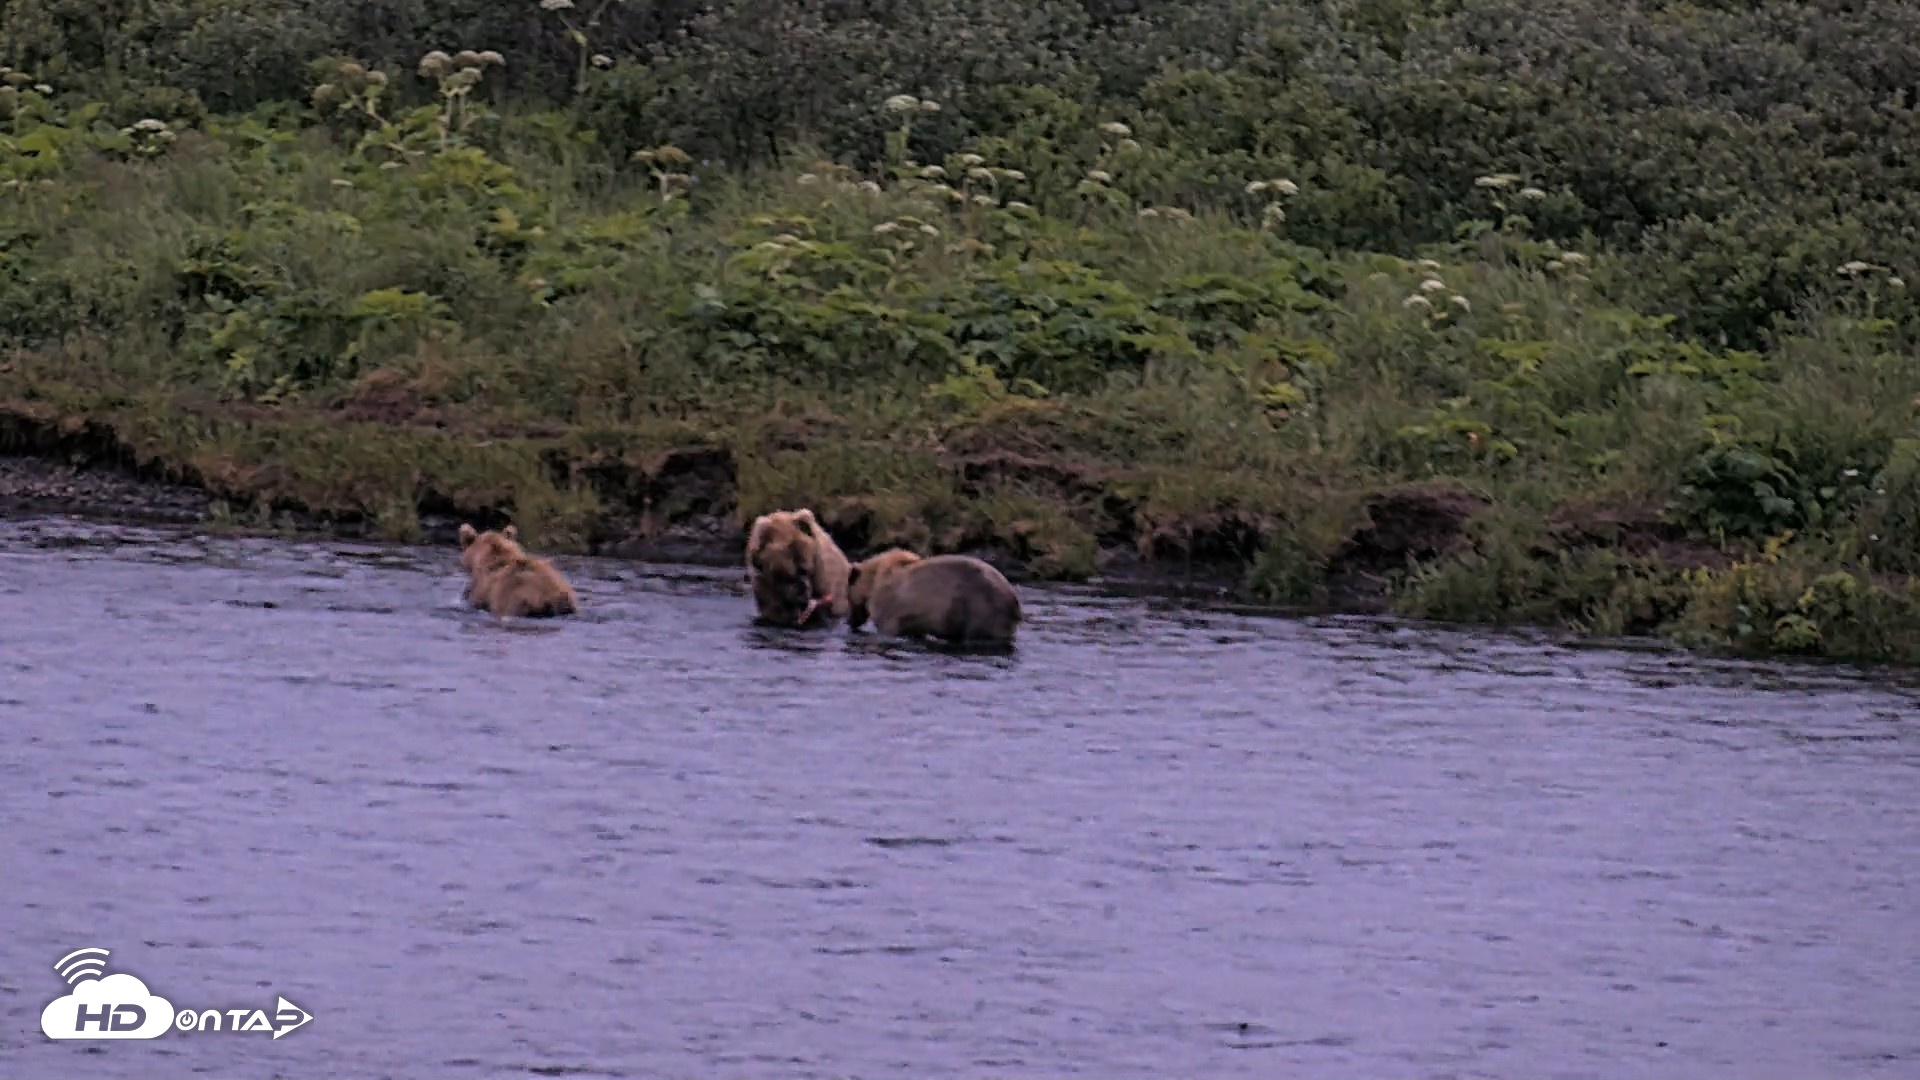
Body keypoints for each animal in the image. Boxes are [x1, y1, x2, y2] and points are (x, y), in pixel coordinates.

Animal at [844, 548, 1022, 646]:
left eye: (847, 597)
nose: (850, 622)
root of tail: (1014, 603)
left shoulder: (890, 608)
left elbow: (887, 627)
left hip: (981, 610)